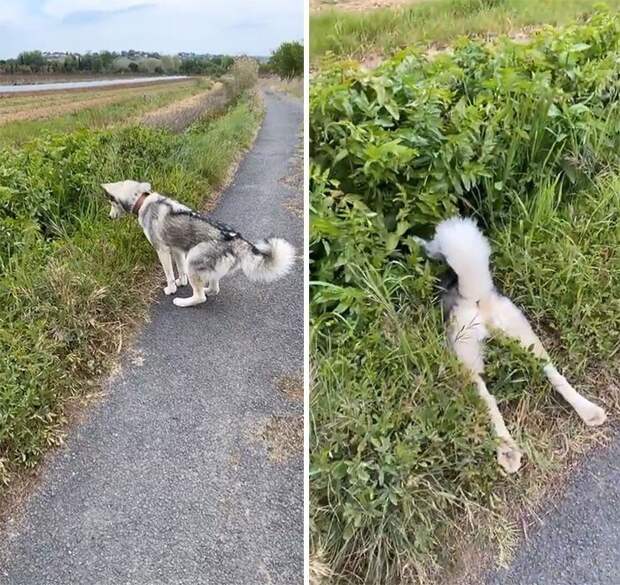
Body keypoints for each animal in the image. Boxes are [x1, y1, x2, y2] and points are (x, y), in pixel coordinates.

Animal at [101, 179, 296, 308]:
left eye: (111, 202)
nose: (108, 217)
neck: (142, 200)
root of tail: (236, 238)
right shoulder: (177, 250)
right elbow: (179, 271)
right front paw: (181, 282)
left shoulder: (162, 250)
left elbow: (169, 274)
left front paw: (171, 289)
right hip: (200, 262)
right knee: (214, 287)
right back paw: (208, 288)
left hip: (193, 258)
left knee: (200, 297)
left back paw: (182, 301)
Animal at [416, 217, 604, 472]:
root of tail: (475, 295)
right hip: (525, 337)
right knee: (553, 373)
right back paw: (589, 411)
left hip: (467, 357)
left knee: (488, 400)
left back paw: (507, 451)